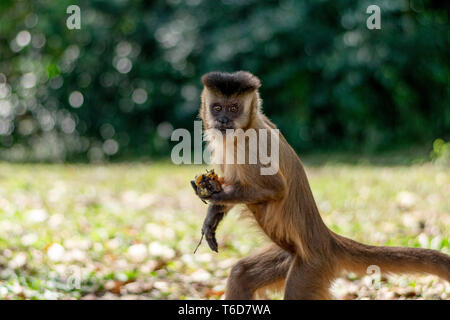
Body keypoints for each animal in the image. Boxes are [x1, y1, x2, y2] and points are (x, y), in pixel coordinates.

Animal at [195, 70, 450, 300]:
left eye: (233, 108)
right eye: (217, 108)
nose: (223, 120)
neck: (244, 129)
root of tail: (327, 240)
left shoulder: (250, 145)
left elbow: (276, 188)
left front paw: (214, 197)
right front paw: (212, 216)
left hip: (312, 267)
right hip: (291, 256)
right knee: (242, 275)